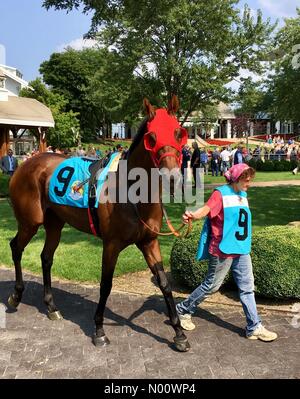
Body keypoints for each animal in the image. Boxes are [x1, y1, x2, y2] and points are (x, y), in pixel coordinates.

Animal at [7, 97, 190, 354]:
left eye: (178, 133)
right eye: (151, 137)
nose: (172, 178)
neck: (132, 192)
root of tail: (25, 164)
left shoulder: (149, 241)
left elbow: (164, 283)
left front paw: (179, 333)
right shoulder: (111, 244)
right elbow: (106, 284)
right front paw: (99, 330)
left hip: (55, 223)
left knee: (46, 257)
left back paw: (51, 307)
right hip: (30, 222)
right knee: (16, 247)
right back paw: (15, 295)